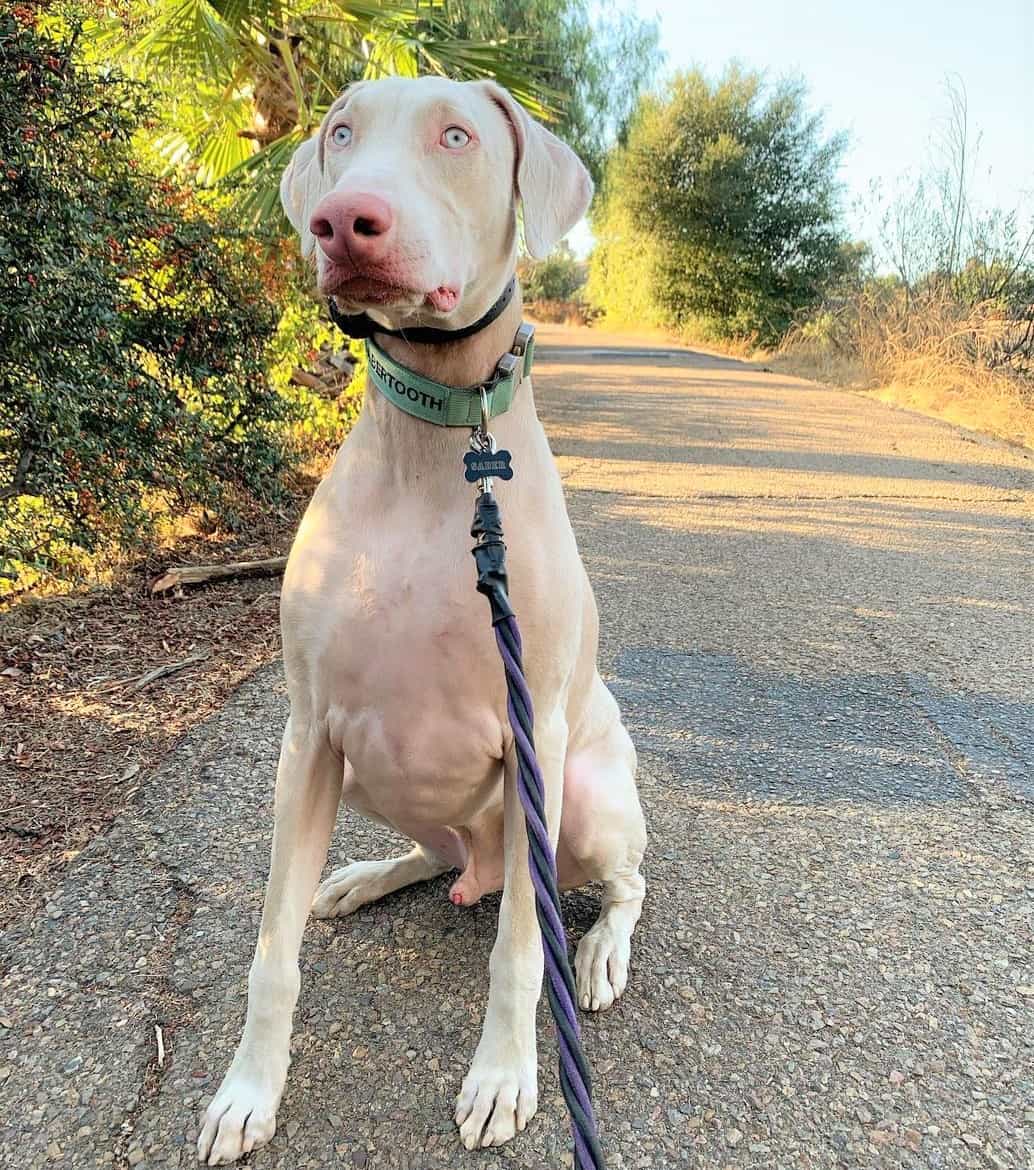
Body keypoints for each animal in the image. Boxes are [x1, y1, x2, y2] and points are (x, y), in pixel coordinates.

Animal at [195, 77, 645, 1165]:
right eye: (339, 133)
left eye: (456, 136)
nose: (342, 219)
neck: (441, 437)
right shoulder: (308, 735)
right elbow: (271, 953)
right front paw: (247, 1092)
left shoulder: (534, 740)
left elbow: (521, 954)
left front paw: (503, 1079)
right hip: (377, 774)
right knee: (436, 854)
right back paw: (366, 875)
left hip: (586, 796)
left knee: (618, 890)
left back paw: (601, 953)